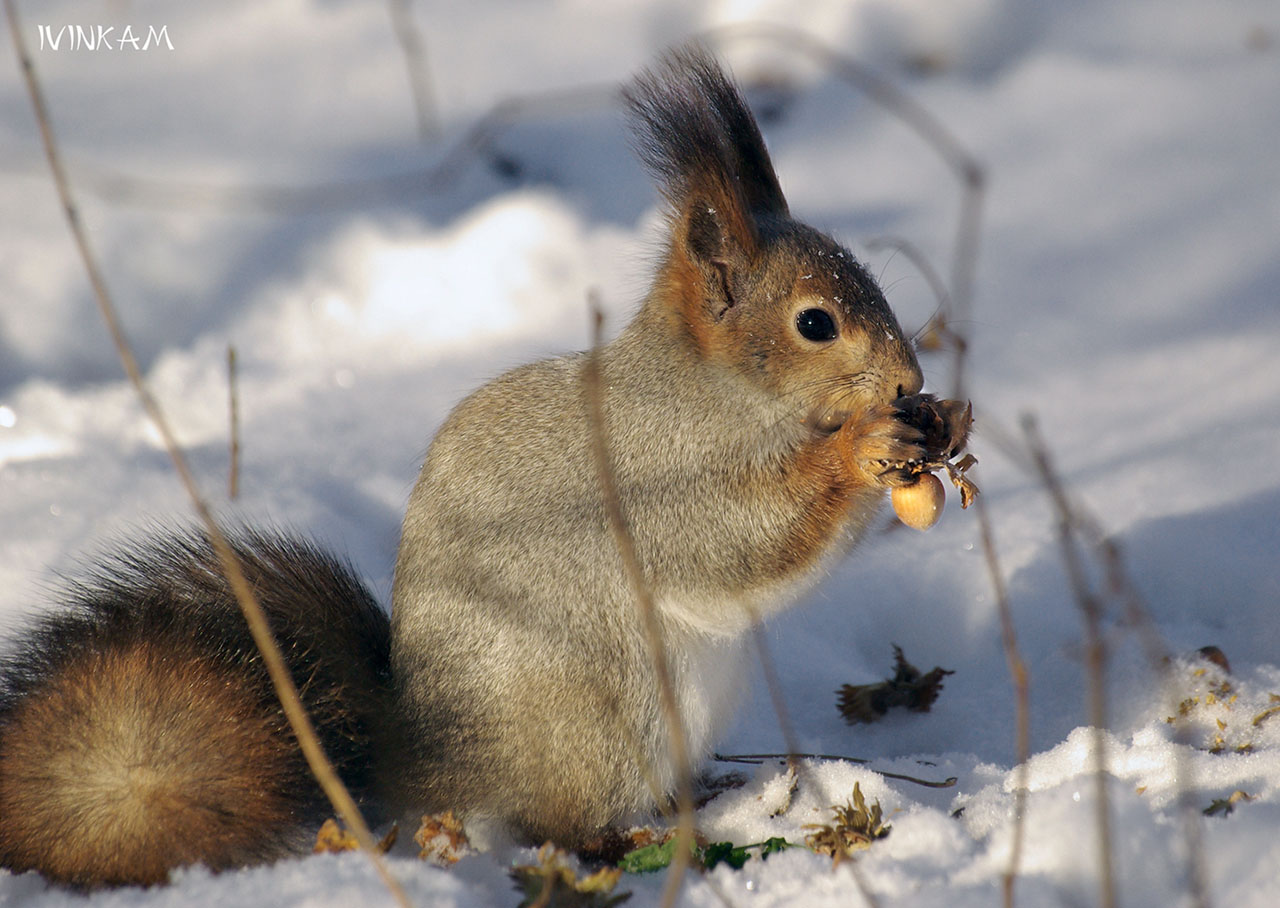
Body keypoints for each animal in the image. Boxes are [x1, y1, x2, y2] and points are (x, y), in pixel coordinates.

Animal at [0, 47, 962, 886]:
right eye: (814, 324)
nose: (910, 380)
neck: (716, 391)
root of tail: (433, 766)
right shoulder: (659, 475)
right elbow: (747, 543)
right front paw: (865, 448)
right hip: (601, 714)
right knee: (556, 823)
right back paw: (626, 839)